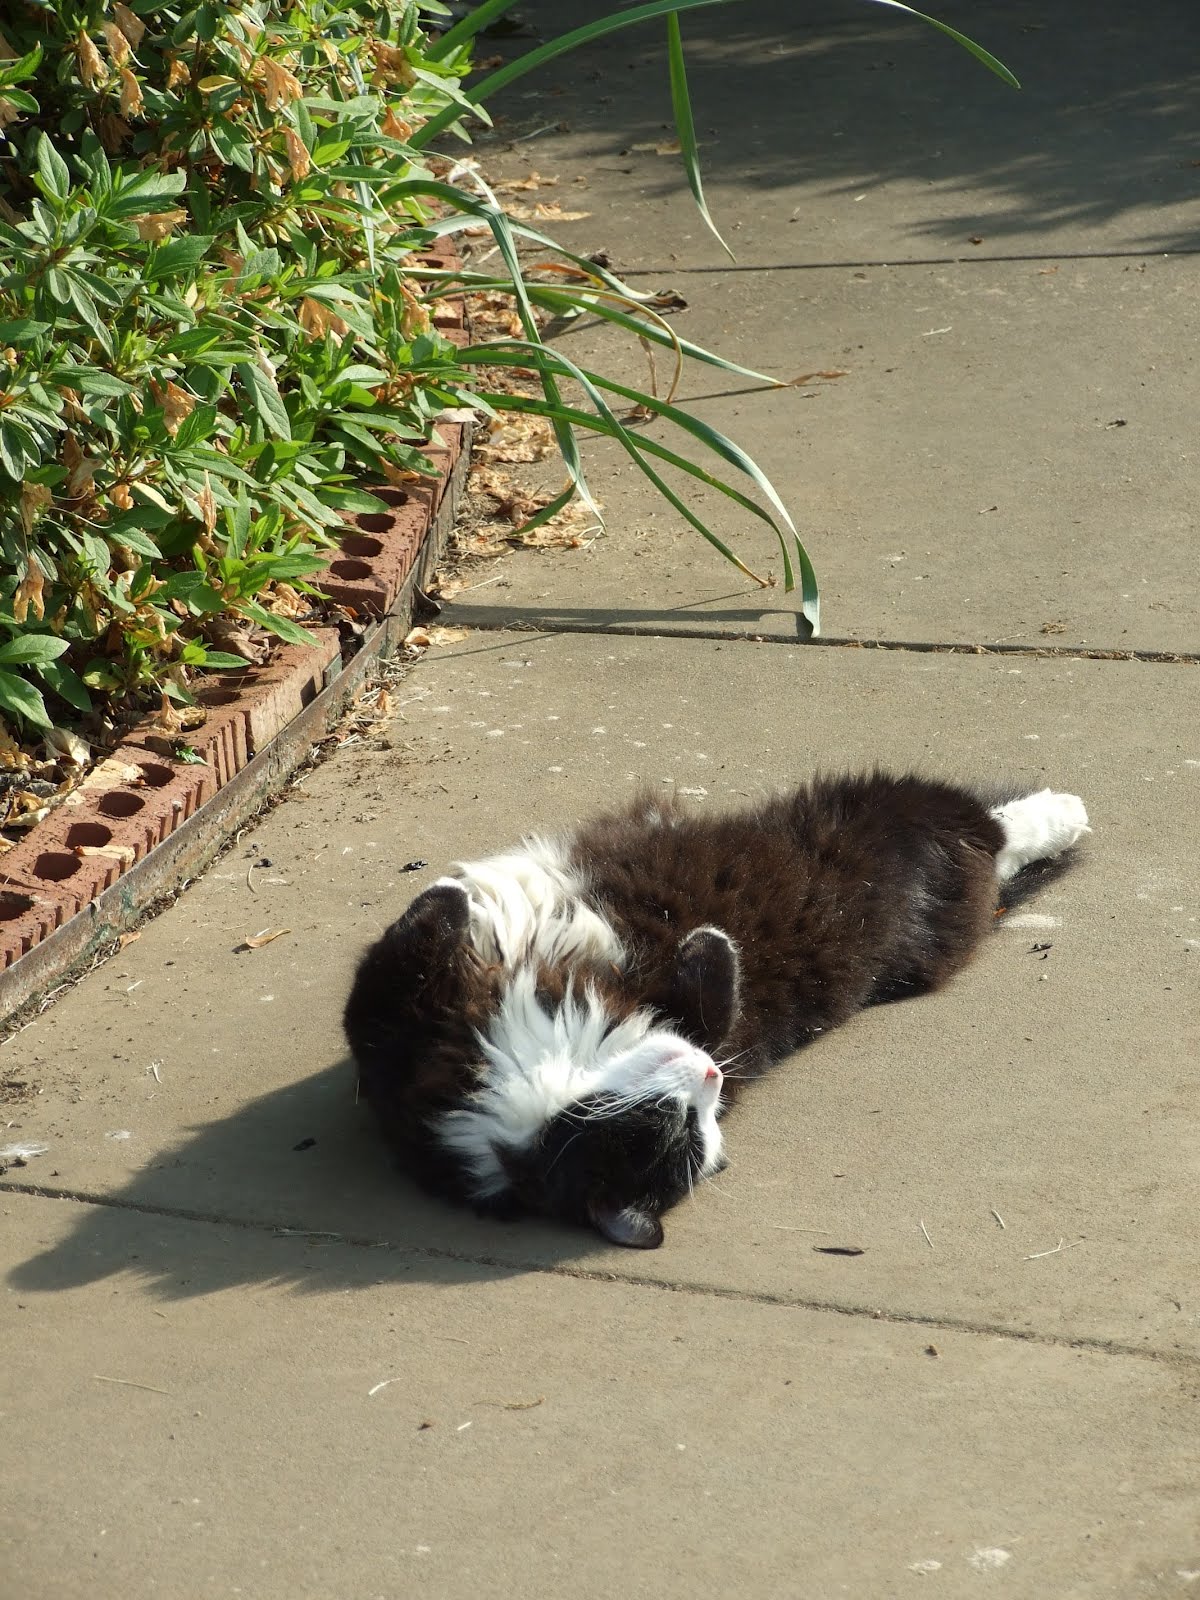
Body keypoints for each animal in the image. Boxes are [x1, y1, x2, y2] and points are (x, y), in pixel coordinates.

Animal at [343, 771, 1089, 1249]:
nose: (713, 1078)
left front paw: (452, 900)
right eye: (683, 1128)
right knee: (993, 828)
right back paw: (1062, 815)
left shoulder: (394, 1029)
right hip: (874, 815)